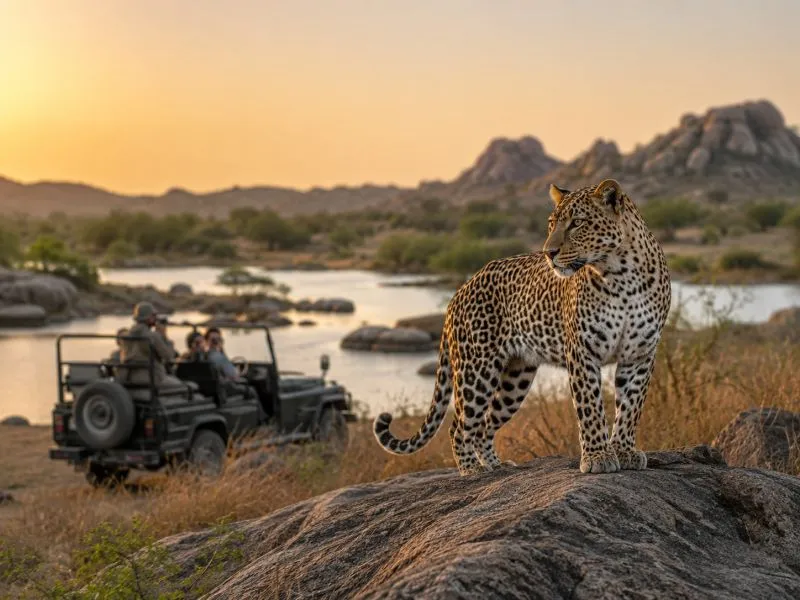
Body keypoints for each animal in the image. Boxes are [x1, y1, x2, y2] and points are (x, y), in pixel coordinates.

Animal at [373, 178, 671, 476]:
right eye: (552, 224)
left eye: (577, 223)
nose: (549, 253)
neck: (622, 276)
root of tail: (459, 292)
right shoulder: (582, 352)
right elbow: (590, 407)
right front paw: (598, 457)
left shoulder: (640, 354)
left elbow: (631, 407)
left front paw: (624, 451)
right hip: (476, 370)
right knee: (458, 426)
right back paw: (472, 470)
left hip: (516, 378)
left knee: (483, 426)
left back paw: (497, 465)